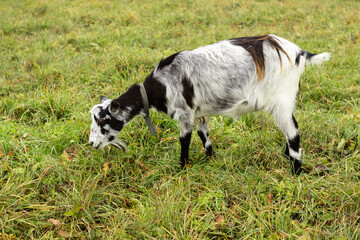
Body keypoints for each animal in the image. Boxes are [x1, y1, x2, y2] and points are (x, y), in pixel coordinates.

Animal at [88, 34, 330, 174]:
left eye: (102, 120)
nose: (91, 144)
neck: (161, 84)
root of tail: (299, 53)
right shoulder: (198, 113)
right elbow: (204, 135)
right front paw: (210, 159)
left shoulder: (184, 113)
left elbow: (184, 139)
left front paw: (181, 167)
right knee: (290, 129)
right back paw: (287, 156)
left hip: (281, 99)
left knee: (293, 132)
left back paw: (295, 170)